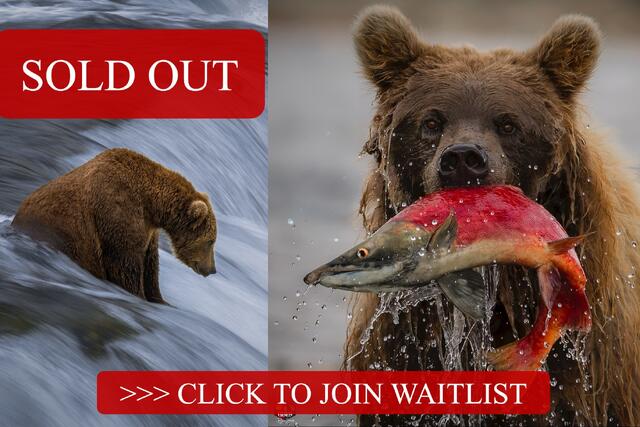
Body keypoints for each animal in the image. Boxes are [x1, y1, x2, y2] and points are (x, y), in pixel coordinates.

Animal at [12, 148, 217, 303]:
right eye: (211, 241)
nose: (212, 270)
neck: (150, 204)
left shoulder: (148, 231)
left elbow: (151, 268)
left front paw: (160, 300)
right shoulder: (117, 213)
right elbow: (125, 265)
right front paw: (137, 294)